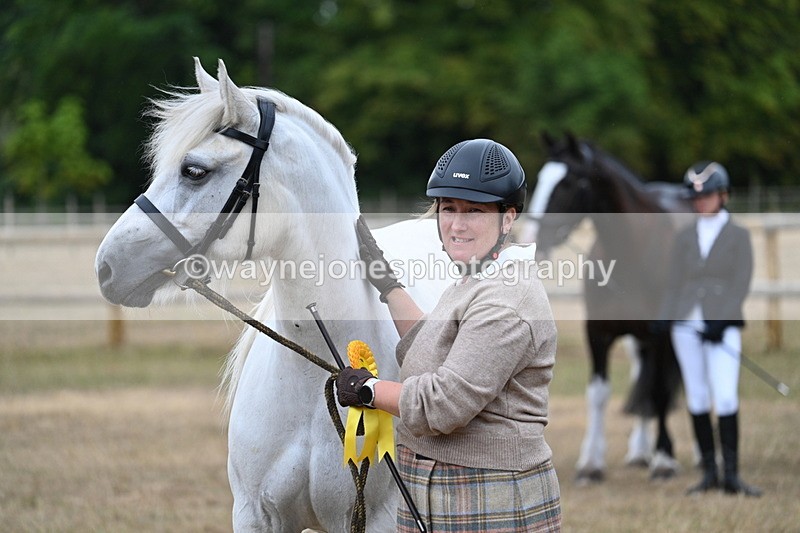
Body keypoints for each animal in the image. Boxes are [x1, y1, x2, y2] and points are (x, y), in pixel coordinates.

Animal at [522, 133, 690, 483]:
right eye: (542, 178)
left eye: (568, 182)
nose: (531, 237)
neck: (632, 253)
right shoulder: (597, 333)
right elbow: (599, 394)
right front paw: (591, 463)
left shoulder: (663, 335)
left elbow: (660, 393)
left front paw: (664, 459)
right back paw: (639, 451)